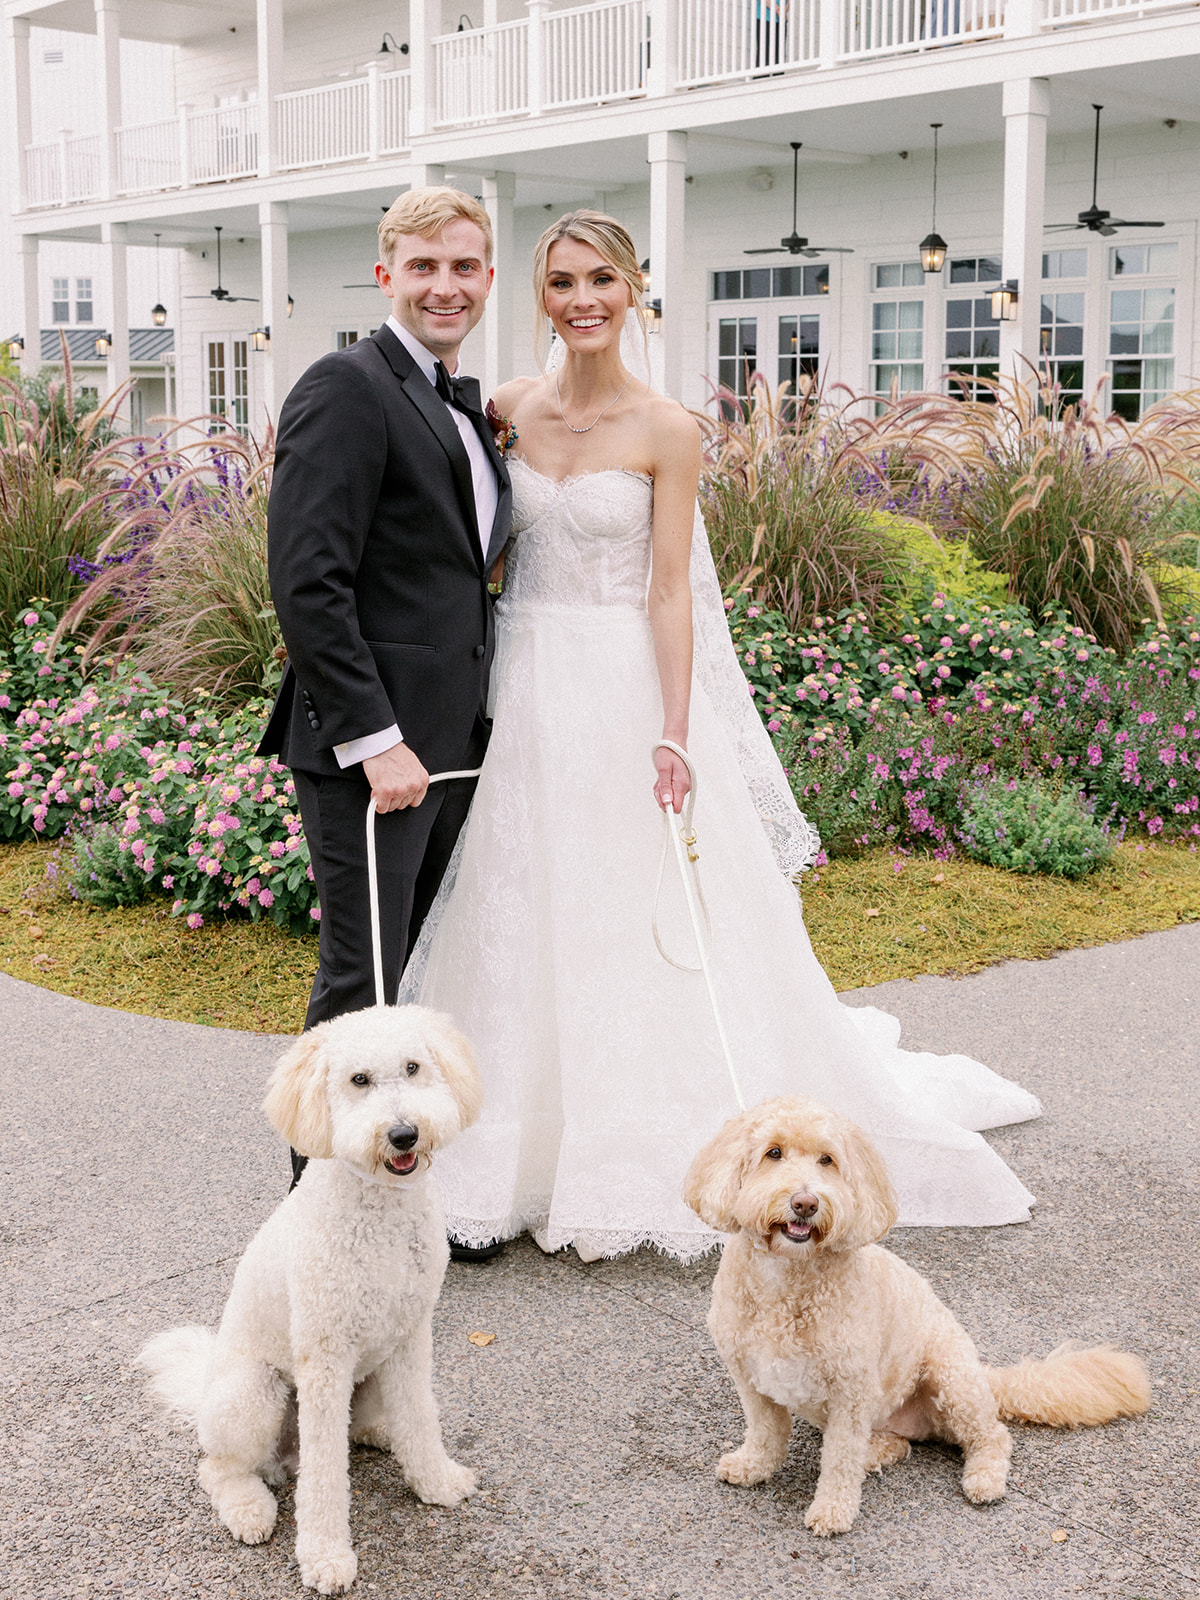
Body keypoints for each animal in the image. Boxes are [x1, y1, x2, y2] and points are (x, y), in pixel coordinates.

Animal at [137, 1004, 483, 1593]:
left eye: (413, 1067)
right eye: (358, 1080)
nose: (404, 1134)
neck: (380, 1211)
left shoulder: (410, 1337)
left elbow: (420, 1416)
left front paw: (435, 1481)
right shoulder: (325, 1358)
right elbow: (324, 1477)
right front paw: (326, 1557)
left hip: (368, 1377)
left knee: (358, 1429)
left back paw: (379, 1435)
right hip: (253, 1394)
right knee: (221, 1467)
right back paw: (249, 1508)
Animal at [681, 1094, 1152, 1529]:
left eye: (827, 1160)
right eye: (773, 1153)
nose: (805, 1203)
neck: (785, 1278)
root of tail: (985, 1376)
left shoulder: (851, 1391)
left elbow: (838, 1460)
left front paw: (833, 1510)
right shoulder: (751, 1378)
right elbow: (767, 1432)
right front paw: (753, 1466)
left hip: (952, 1377)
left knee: (992, 1436)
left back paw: (983, 1478)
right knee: (896, 1444)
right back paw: (877, 1453)